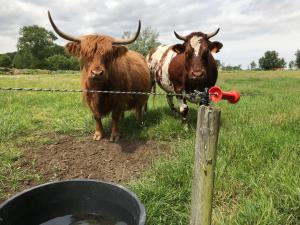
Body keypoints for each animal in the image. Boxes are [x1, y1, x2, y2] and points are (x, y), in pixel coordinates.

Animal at [49, 11, 152, 142]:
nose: (97, 73)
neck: (99, 90)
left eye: (108, 55)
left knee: (139, 108)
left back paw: (139, 123)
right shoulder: (89, 98)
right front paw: (98, 134)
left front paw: (115, 135)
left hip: (143, 94)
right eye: (85, 54)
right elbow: (96, 116)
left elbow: (115, 116)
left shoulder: (119, 98)